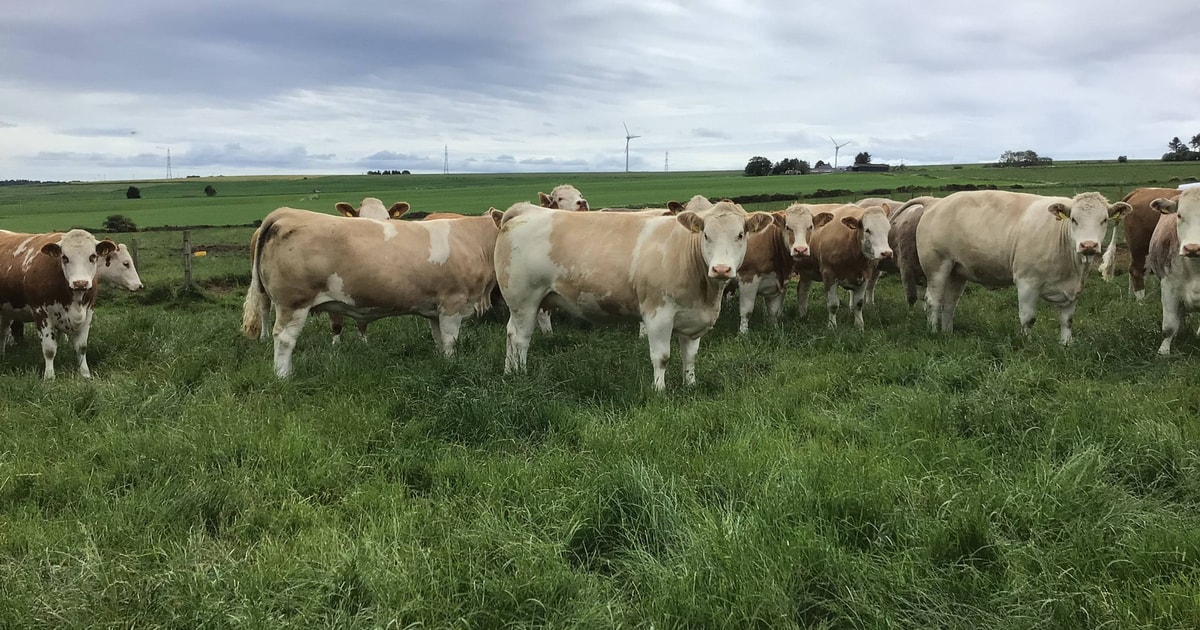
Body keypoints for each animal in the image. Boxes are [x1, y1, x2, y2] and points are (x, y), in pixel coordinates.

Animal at [0, 229, 118, 379]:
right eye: (65, 258)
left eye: (92, 256)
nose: (80, 283)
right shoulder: (41, 314)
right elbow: (49, 349)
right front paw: (49, 376)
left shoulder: (88, 313)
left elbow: (82, 347)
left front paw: (85, 373)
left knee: (3, 332)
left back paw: (2, 355)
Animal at [242, 207, 504, 378]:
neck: (474, 241)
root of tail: (286, 212)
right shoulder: (452, 303)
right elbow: (451, 342)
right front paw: (452, 366)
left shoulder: (435, 308)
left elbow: (439, 340)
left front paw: (443, 365)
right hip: (294, 302)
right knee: (284, 339)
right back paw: (283, 377)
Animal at [495, 200, 773, 390]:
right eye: (706, 235)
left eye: (741, 234)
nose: (721, 269)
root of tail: (525, 209)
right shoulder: (658, 313)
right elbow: (662, 357)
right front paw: (659, 390)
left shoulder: (694, 318)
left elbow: (690, 356)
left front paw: (690, 384)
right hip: (525, 299)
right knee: (521, 339)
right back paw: (521, 374)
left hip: (518, 304)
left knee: (509, 333)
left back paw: (509, 372)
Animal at [918, 190, 1131, 344]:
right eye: (1074, 219)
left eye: (1104, 220)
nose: (1088, 245)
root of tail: (935, 202)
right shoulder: (1027, 282)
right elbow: (1028, 318)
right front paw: (1027, 344)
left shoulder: (1073, 289)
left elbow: (1067, 320)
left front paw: (1066, 345)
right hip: (937, 266)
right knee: (933, 301)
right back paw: (934, 332)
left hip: (957, 271)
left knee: (949, 303)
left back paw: (948, 333)